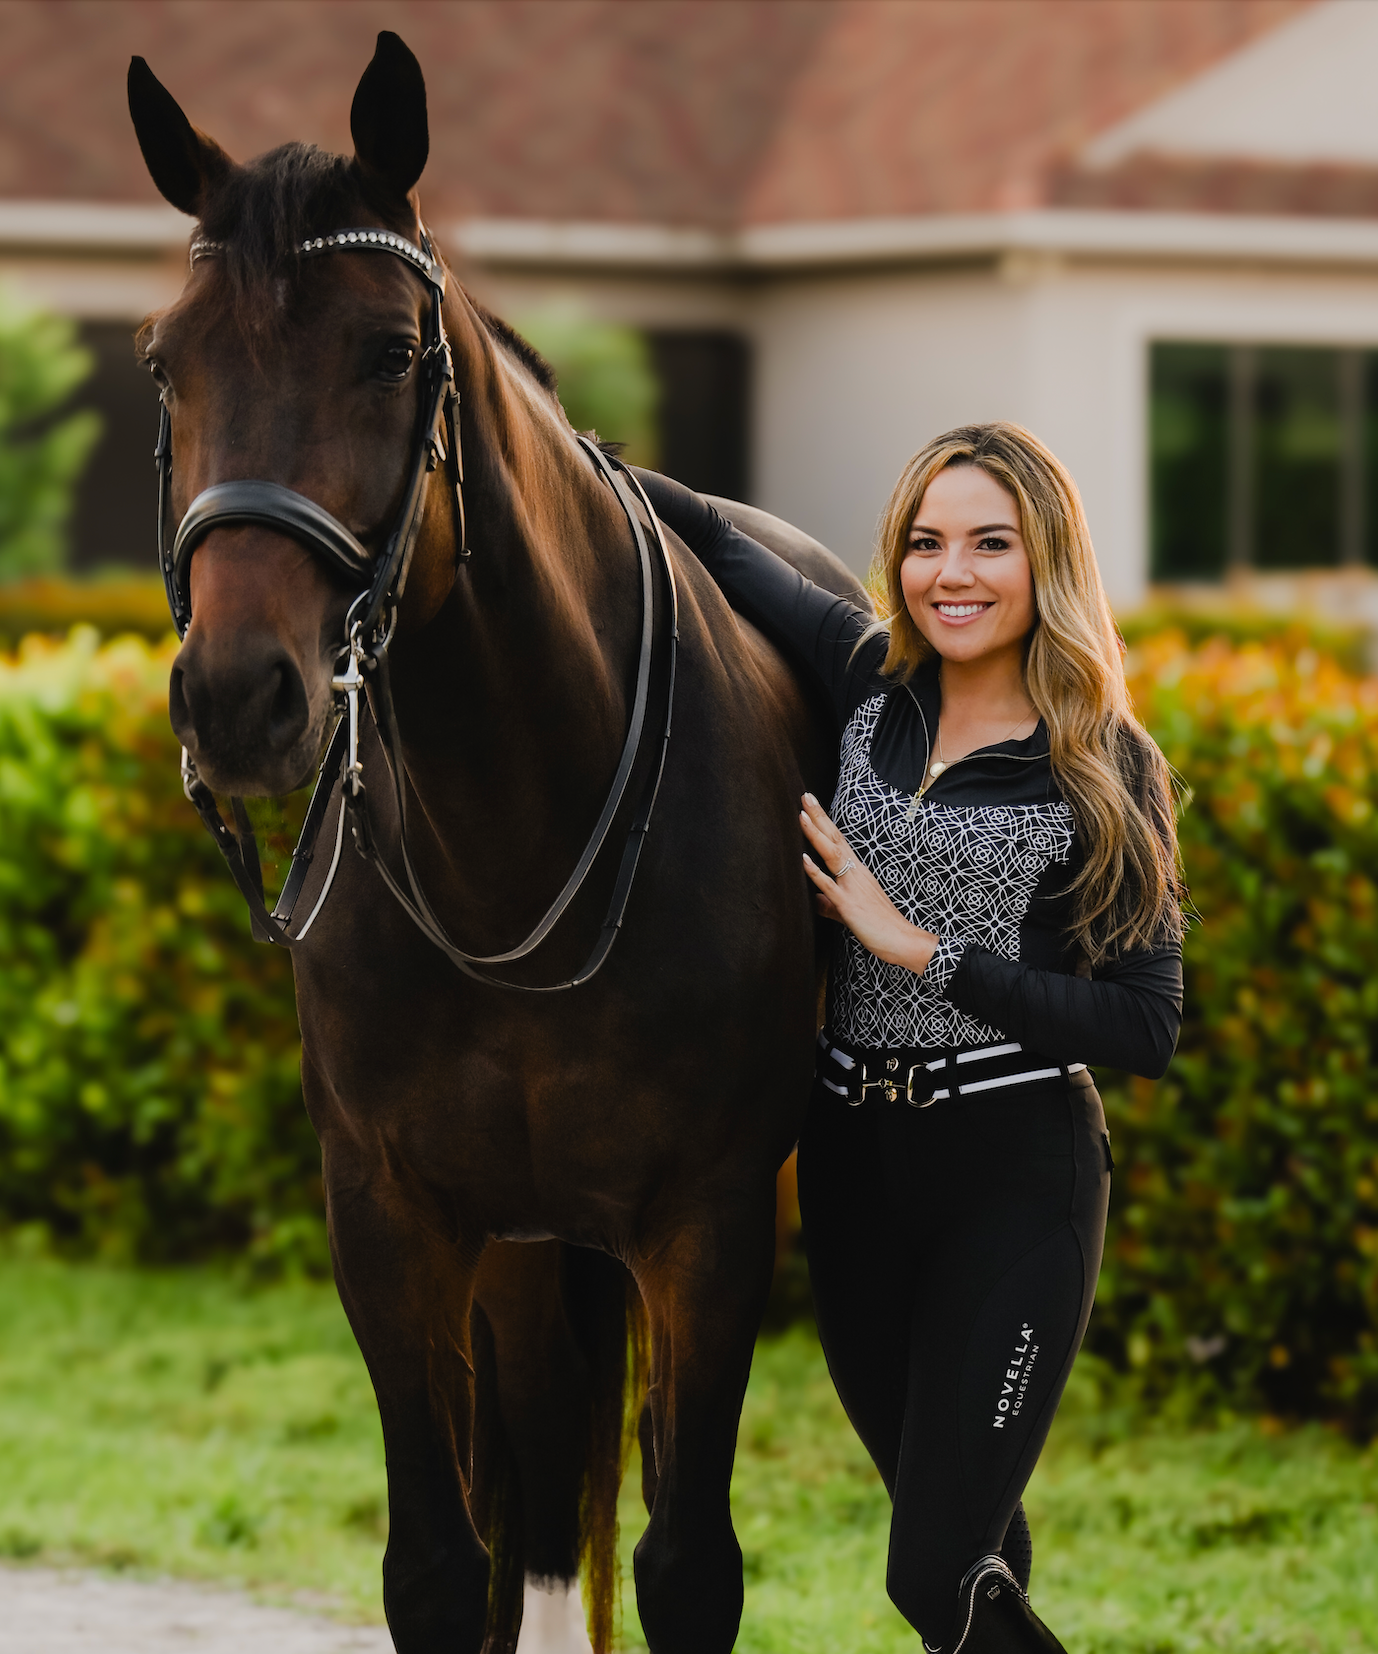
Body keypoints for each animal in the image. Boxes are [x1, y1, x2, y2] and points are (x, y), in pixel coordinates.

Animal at [131, 35, 860, 1654]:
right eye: (164, 361)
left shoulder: (707, 1227)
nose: (239, 695)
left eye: (389, 354)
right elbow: (437, 1567)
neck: (515, 842)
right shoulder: (393, 1222)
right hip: (522, 1258)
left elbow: (686, 1569)